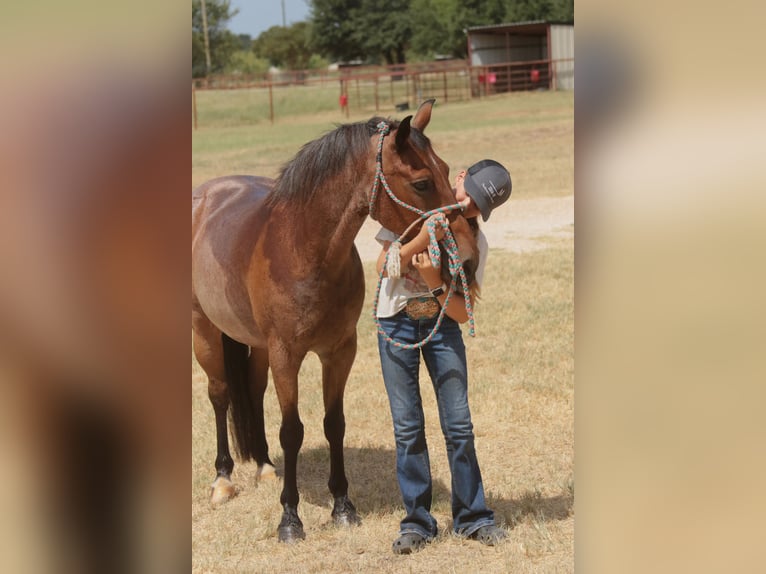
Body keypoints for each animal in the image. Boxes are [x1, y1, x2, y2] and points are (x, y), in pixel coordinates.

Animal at [191, 99, 480, 543]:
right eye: (422, 183)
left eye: (448, 170)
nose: (465, 253)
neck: (303, 249)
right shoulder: (286, 355)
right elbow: (292, 431)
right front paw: (290, 519)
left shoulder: (339, 351)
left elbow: (334, 424)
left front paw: (343, 506)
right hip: (204, 332)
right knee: (220, 394)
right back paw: (222, 480)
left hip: (256, 345)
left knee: (252, 393)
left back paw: (264, 467)